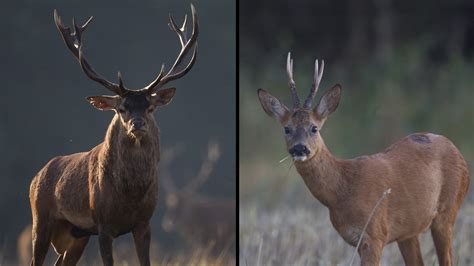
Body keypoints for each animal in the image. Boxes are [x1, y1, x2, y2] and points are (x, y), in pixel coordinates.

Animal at [28, 6, 198, 266]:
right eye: (121, 108)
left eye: (150, 107)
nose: (137, 124)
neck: (130, 196)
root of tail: (36, 177)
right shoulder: (103, 225)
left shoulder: (144, 223)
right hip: (41, 219)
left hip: (75, 234)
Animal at [260, 52, 470, 266]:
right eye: (287, 128)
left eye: (314, 128)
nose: (299, 148)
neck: (342, 190)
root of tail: (457, 151)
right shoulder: (359, 240)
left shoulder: (375, 234)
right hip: (409, 231)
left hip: (448, 210)